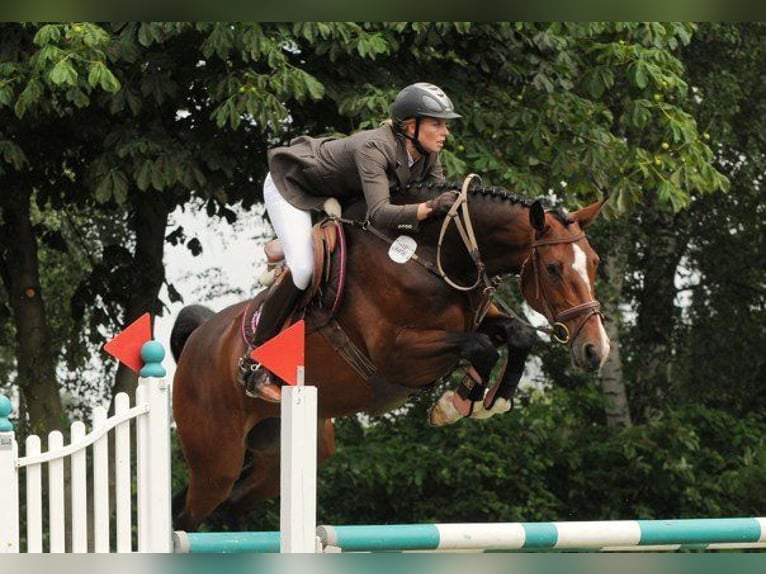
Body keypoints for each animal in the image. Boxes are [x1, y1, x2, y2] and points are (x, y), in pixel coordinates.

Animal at [169, 176, 611, 531]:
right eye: (553, 269)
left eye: (594, 262)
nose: (596, 350)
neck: (432, 255)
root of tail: (198, 341)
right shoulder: (397, 354)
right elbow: (481, 348)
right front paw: (454, 405)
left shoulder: (476, 319)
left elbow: (517, 336)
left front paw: (489, 401)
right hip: (217, 460)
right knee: (187, 514)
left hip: (282, 452)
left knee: (231, 504)